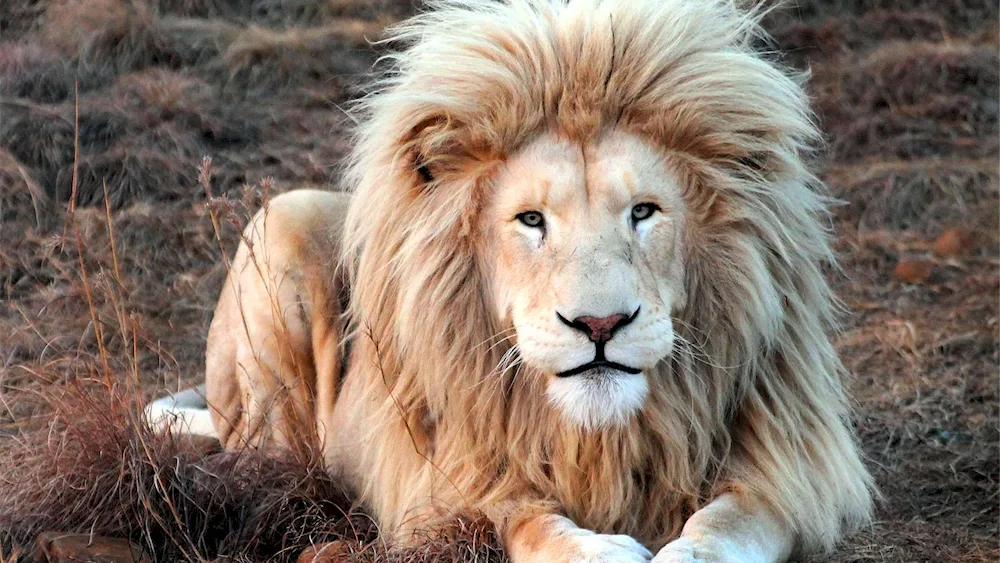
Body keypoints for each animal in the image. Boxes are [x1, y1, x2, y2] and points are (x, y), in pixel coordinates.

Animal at [146, 0, 875, 561]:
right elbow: (529, 522)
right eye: (531, 220)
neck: (597, 436)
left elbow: (729, 523)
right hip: (286, 224)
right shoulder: (452, 481)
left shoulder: (782, 463)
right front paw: (602, 549)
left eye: (643, 212)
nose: (600, 325)